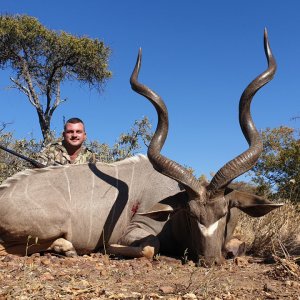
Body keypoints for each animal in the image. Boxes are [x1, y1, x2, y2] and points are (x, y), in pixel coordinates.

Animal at [0, 29, 282, 264]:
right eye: (191, 214)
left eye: (224, 212)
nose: (210, 261)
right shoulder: (137, 230)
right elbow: (149, 247)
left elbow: (238, 245)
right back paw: (67, 248)